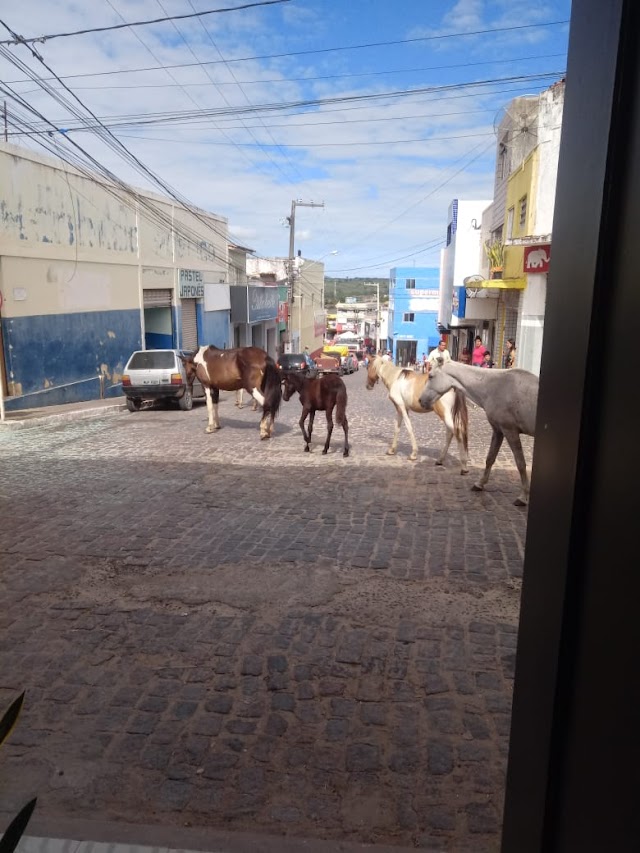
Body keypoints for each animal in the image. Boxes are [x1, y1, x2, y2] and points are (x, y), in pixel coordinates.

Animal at [418, 362, 536, 506]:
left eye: (430, 376)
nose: (420, 400)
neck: (495, 386)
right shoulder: (498, 430)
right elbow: (490, 459)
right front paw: (480, 484)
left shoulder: (510, 431)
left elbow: (520, 464)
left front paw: (523, 496)